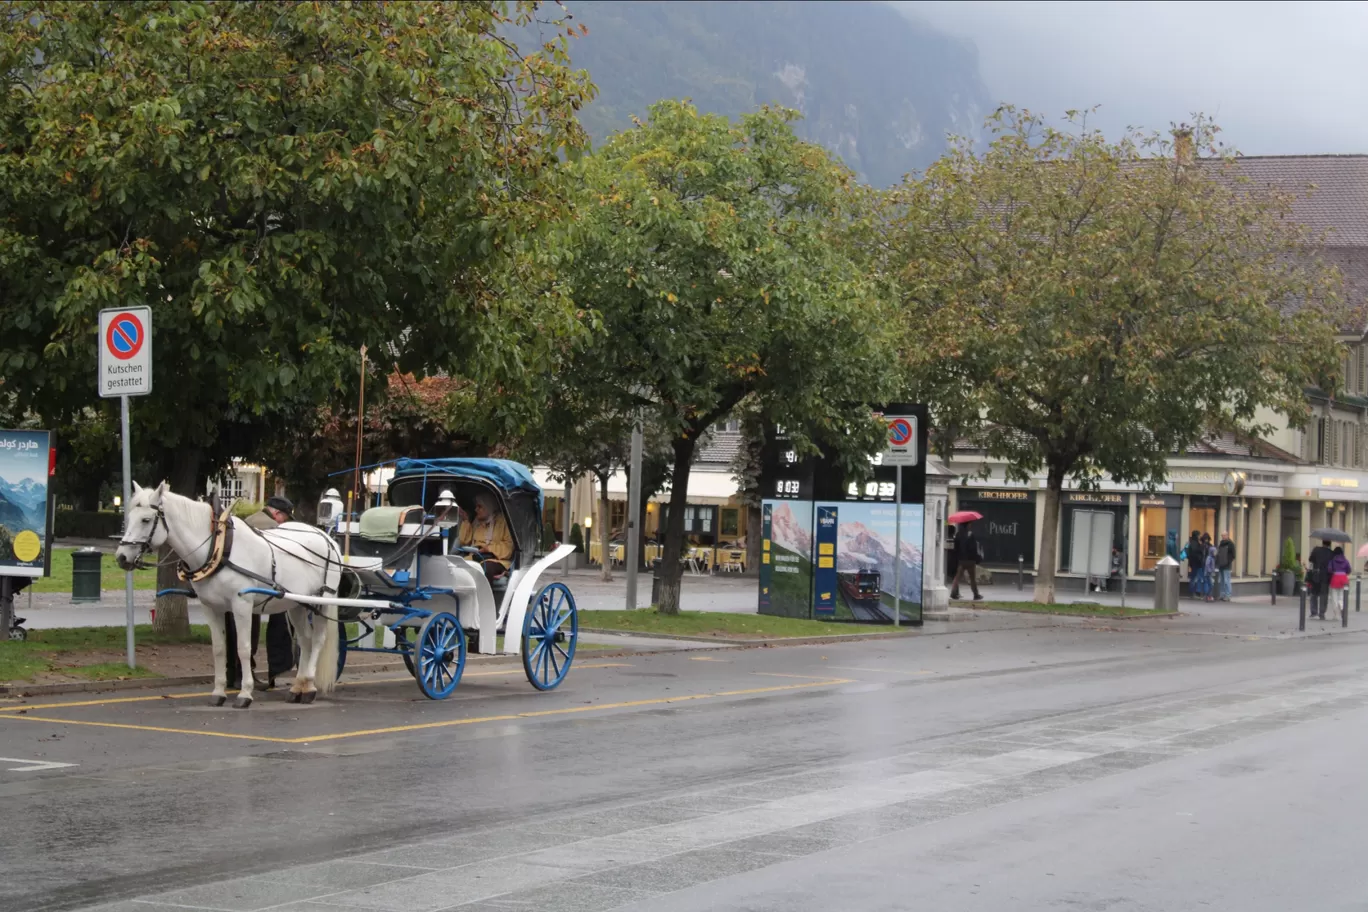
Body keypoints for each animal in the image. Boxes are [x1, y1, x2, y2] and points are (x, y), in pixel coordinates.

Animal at [114, 481, 344, 711]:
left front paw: (245, 693)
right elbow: (219, 649)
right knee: (305, 640)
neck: (219, 547)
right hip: (297, 604)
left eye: (146, 520)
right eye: (129, 517)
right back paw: (298, 687)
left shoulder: (241, 605)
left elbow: (243, 648)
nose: (121, 558)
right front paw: (218, 692)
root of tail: (327, 538)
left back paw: (310, 686)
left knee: (318, 640)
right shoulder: (211, 607)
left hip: (323, 601)